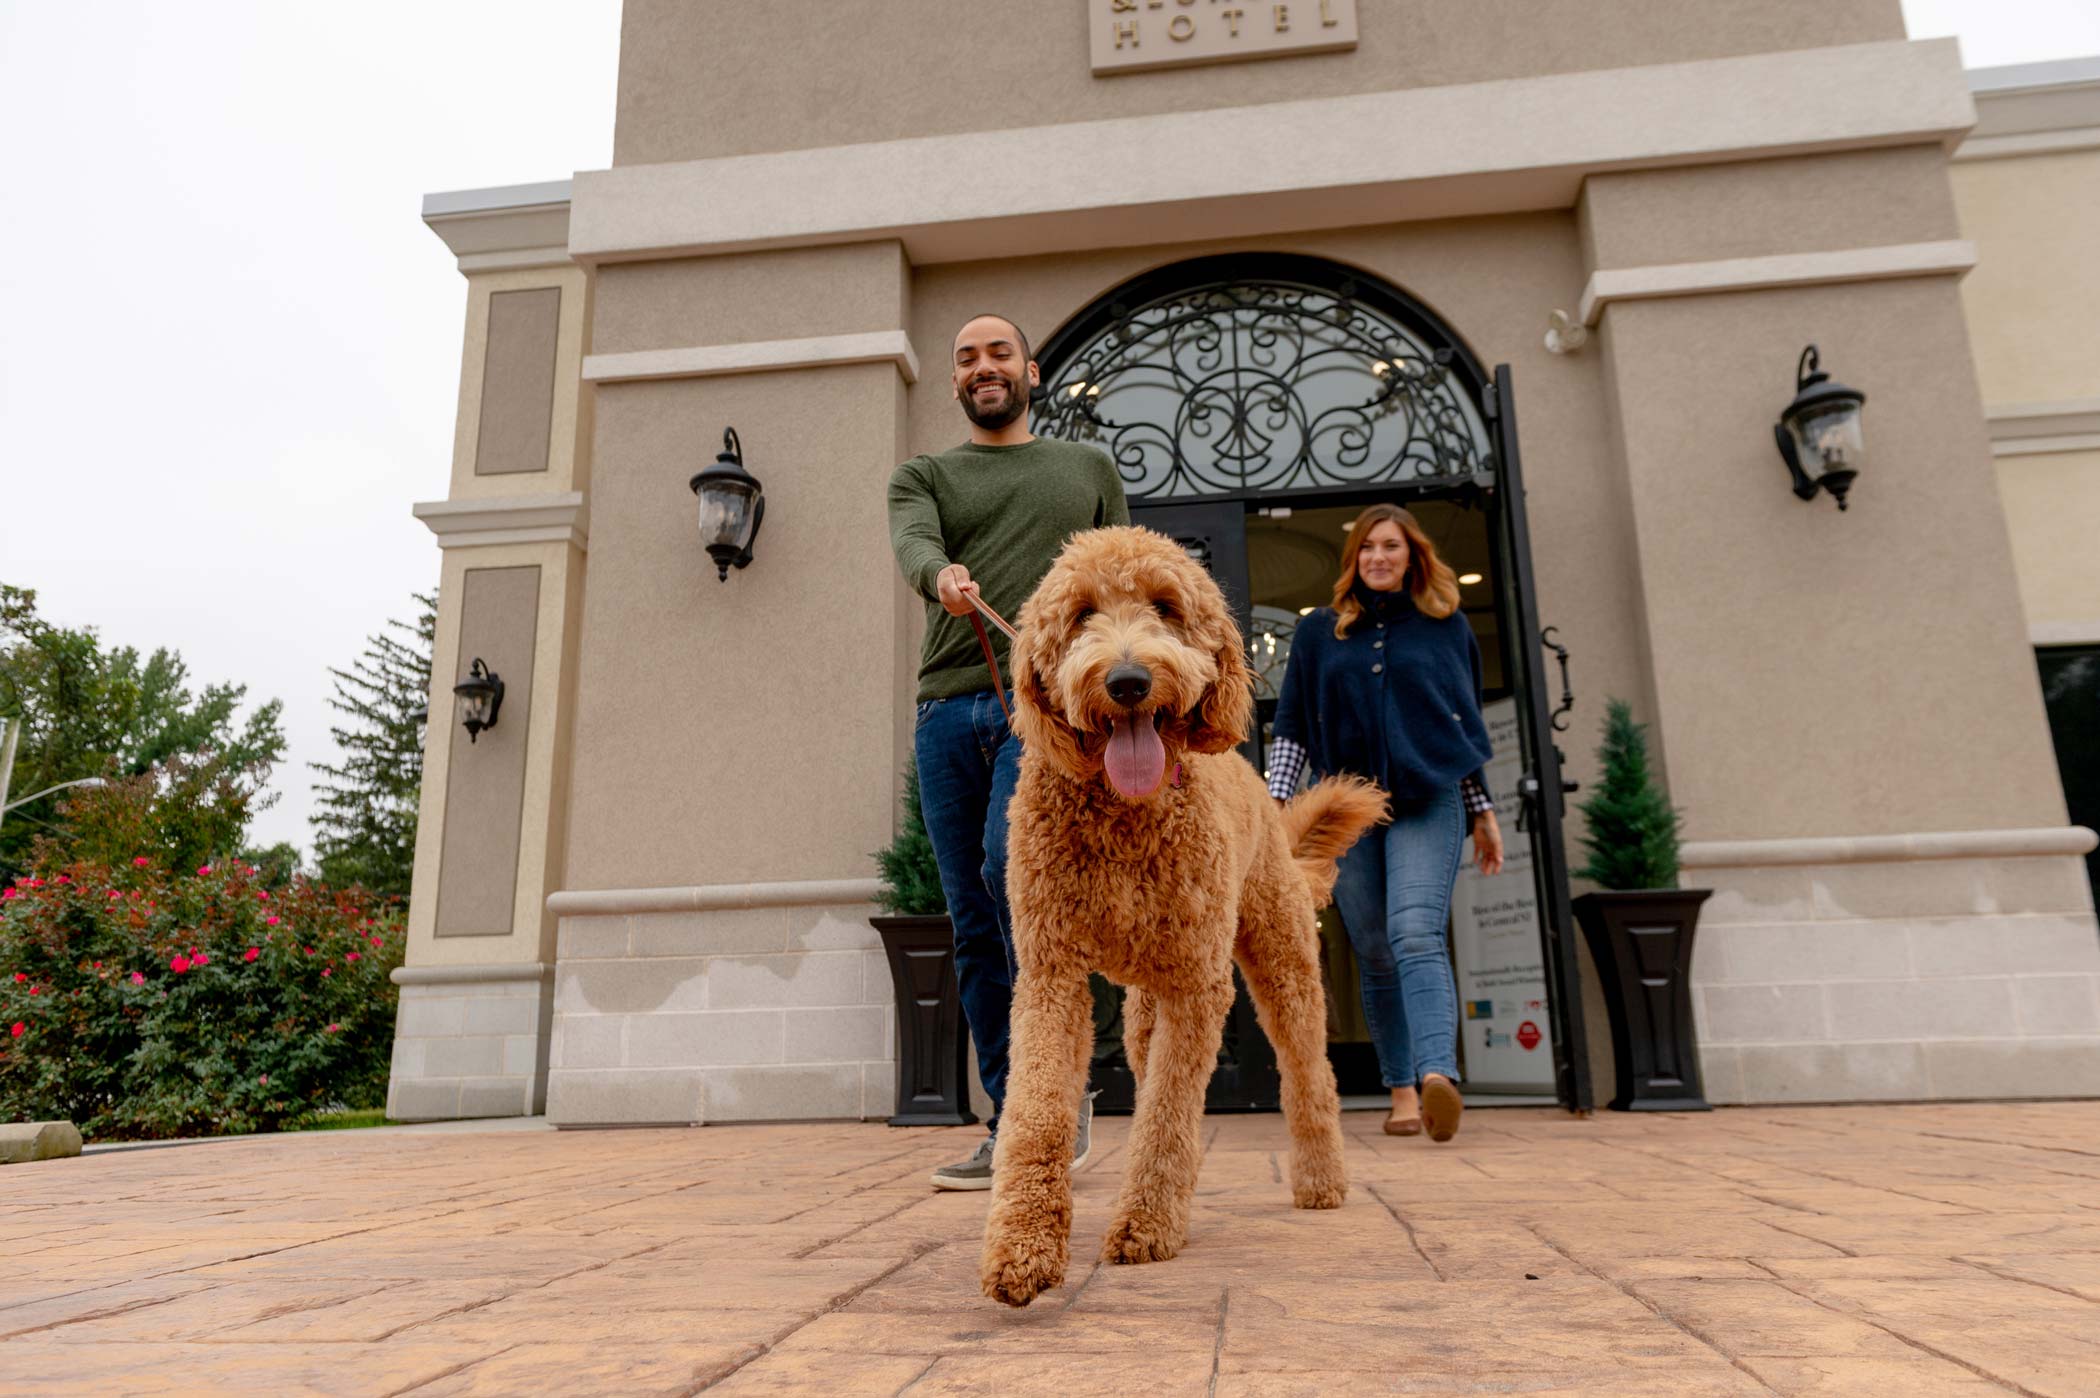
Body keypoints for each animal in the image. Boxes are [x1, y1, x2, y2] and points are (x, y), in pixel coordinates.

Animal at [982, 522, 1394, 1309]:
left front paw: (1145, 1226)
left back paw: (1321, 1180)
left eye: (1167, 608)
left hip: (1279, 963)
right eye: (1081, 614)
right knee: (1151, 1075)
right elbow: (1040, 1110)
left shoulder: (1200, 987)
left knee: (1307, 1073)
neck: (1122, 811)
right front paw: (1022, 1248)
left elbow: (1172, 1113)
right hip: (1148, 1000)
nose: (1128, 682)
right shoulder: (1051, 973)